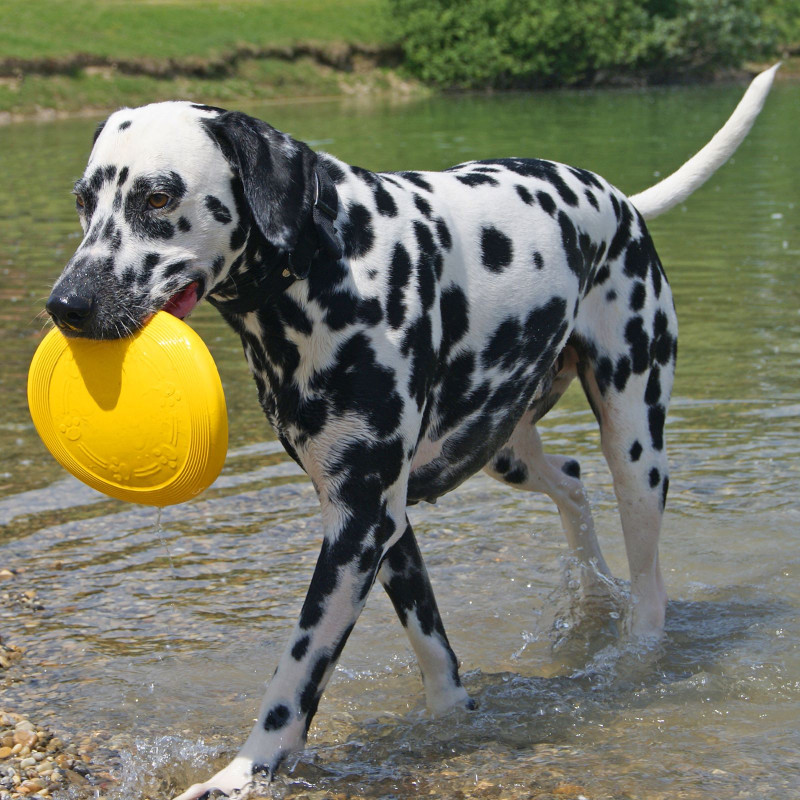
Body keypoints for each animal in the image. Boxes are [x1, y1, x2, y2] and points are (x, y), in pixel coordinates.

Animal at [43, 67, 776, 800]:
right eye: (83, 201)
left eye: (158, 197)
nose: (66, 305)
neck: (327, 262)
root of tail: (618, 199)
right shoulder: (384, 524)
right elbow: (435, 653)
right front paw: (451, 720)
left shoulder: (359, 526)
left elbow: (295, 674)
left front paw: (241, 772)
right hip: (503, 449)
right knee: (570, 484)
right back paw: (593, 597)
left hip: (635, 452)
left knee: (649, 586)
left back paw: (634, 653)